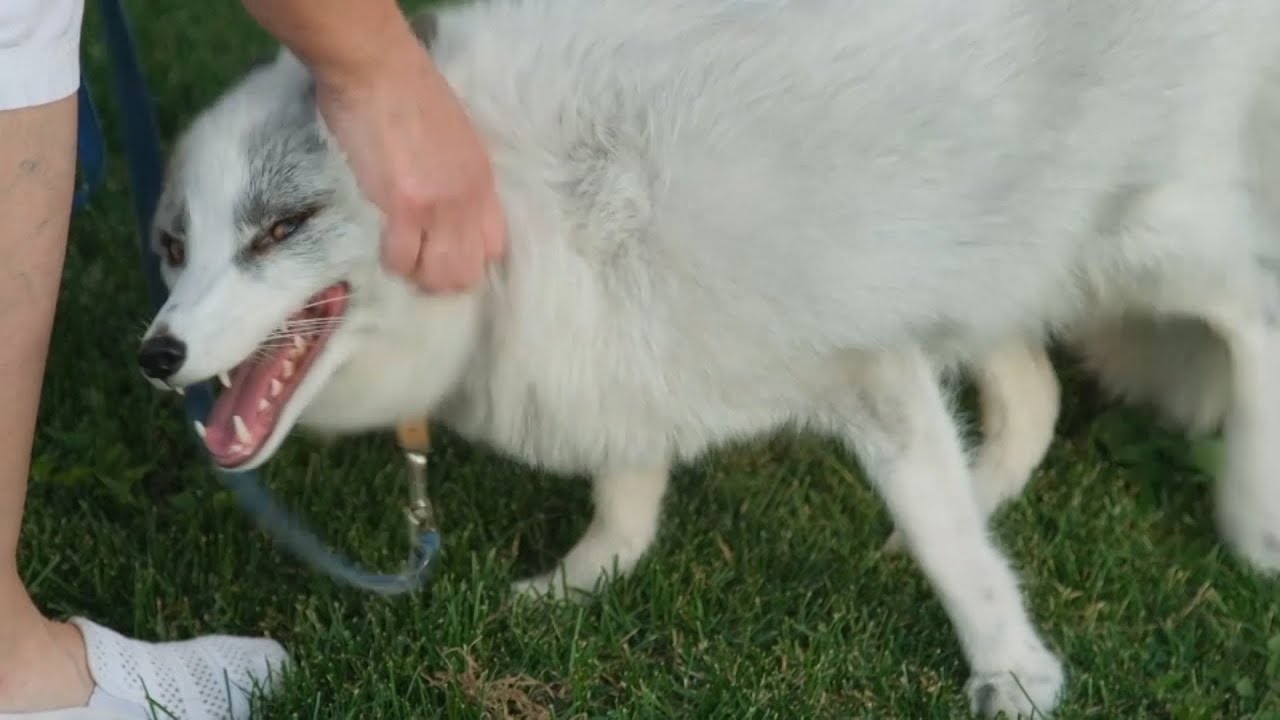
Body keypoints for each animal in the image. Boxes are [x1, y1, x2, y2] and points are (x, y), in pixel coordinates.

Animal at [135, 0, 1280, 716]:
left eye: (282, 228)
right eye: (174, 246)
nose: (156, 352)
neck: (522, 199)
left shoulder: (863, 361)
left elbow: (947, 543)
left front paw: (1012, 672)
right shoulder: (620, 349)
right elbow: (626, 487)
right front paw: (583, 581)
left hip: (1131, 241)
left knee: (1250, 307)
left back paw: (1251, 521)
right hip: (993, 253)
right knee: (1034, 393)